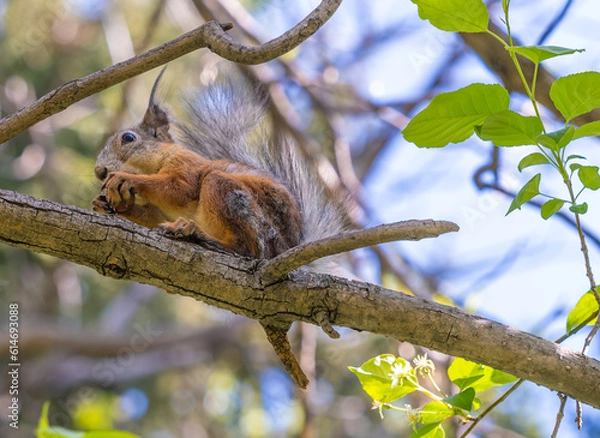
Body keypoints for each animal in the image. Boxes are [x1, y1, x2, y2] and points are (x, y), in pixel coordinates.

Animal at [91, 66, 350, 260]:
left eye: (128, 138)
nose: (99, 171)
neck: (158, 161)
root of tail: (284, 249)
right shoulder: (159, 213)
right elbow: (151, 218)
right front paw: (107, 203)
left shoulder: (187, 165)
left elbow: (180, 189)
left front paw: (125, 179)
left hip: (232, 196)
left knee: (248, 249)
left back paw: (196, 234)